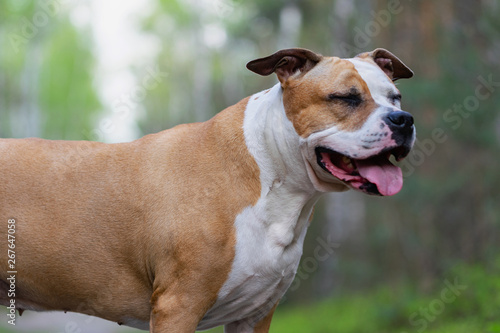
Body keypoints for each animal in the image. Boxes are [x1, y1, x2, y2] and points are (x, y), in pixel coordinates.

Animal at [0, 47, 414, 332]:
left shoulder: (256, 315)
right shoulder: (178, 307)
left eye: (395, 97)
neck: (270, 177)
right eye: (346, 98)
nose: (403, 120)